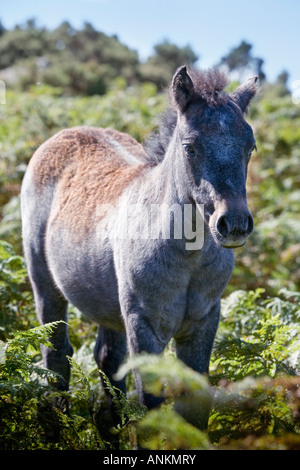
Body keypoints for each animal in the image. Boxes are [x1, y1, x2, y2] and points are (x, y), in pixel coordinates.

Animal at [21, 65, 258, 430]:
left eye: (250, 147)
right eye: (190, 148)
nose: (233, 224)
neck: (188, 258)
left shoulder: (203, 324)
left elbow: (194, 408)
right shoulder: (144, 327)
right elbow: (150, 406)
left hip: (107, 305)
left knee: (107, 360)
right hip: (46, 289)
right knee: (56, 358)